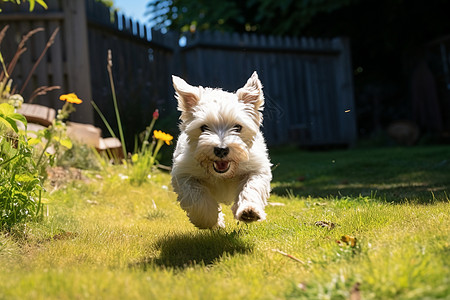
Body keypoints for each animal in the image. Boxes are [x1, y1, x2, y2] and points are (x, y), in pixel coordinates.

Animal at [171, 71, 270, 229]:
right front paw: (209, 219)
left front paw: (249, 210)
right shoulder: (183, 175)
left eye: (238, 127)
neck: (222, 175)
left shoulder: (256, 169)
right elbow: (197, 197)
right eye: (204, 127)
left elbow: (251, 187)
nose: (221, 150)